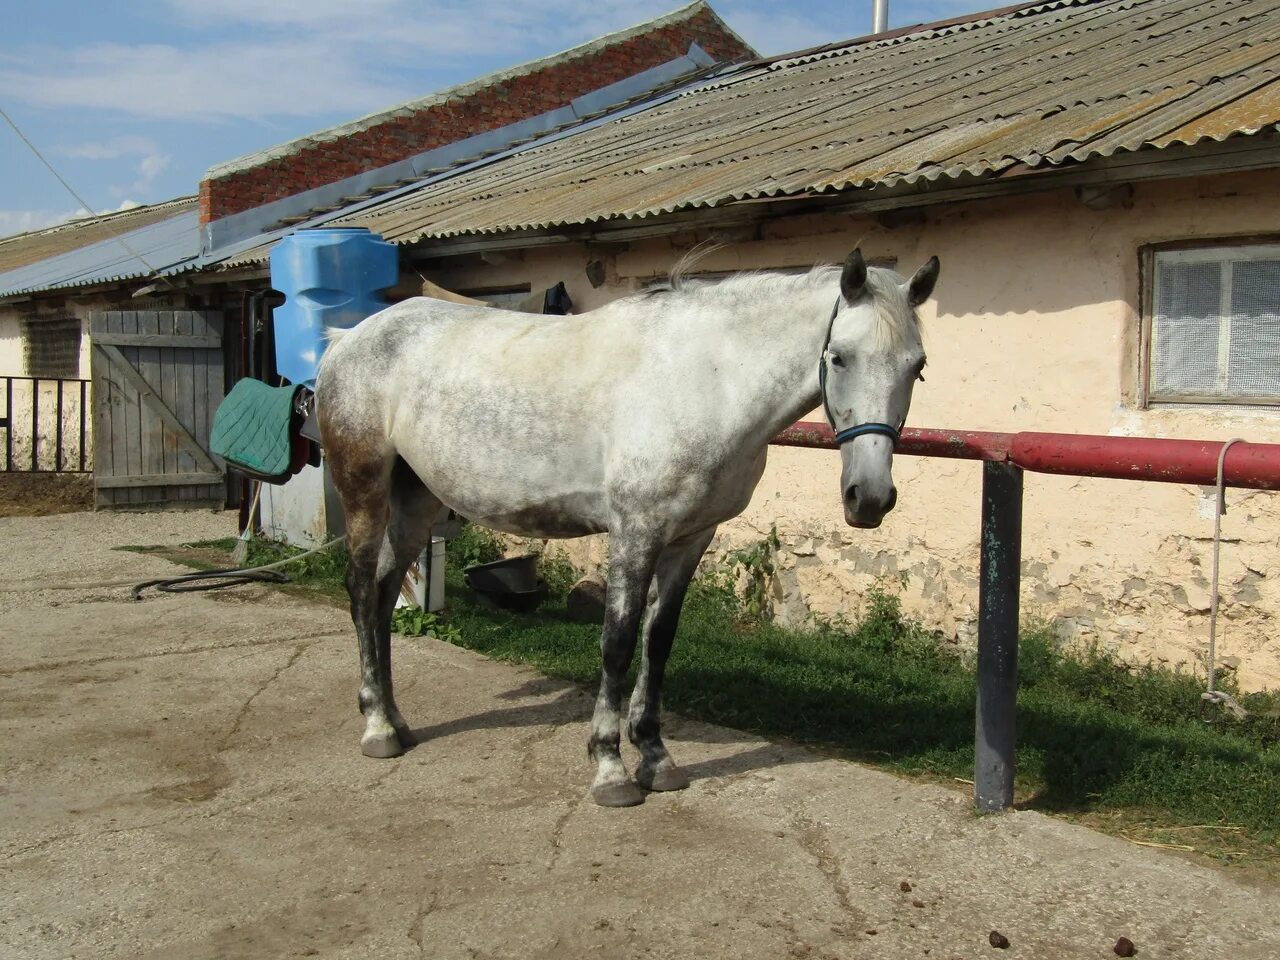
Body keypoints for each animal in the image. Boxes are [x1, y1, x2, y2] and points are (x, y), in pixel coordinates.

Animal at [320, 252, 942, 808]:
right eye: (839, 358)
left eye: (917, 367)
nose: (870, 498)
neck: (710, 380)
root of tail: (347, 337)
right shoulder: (636, 532)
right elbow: (617, 642)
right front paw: (610, 769)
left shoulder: (691, 539)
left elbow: (658, 642)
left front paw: (656, 758)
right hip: (365, 493)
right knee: (360, 592)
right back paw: (377, 728)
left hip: (416, 502)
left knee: (383, 594)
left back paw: (395, 720)